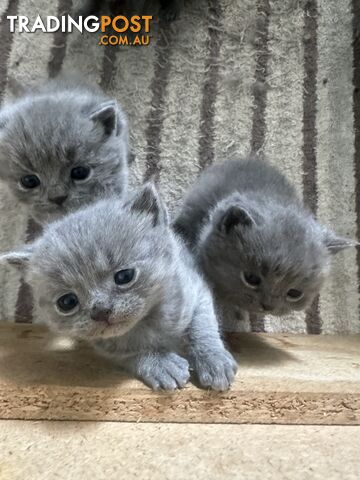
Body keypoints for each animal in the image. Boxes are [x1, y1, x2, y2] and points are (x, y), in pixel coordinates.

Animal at [1, 184, 238, 390]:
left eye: (124, 276)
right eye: (67, 302)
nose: (100, 310)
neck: (146, 324)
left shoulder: (195, 289)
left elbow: (202, 325)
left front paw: (213, 360)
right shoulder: (104, 346)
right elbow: (131, 354)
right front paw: (160, 364)